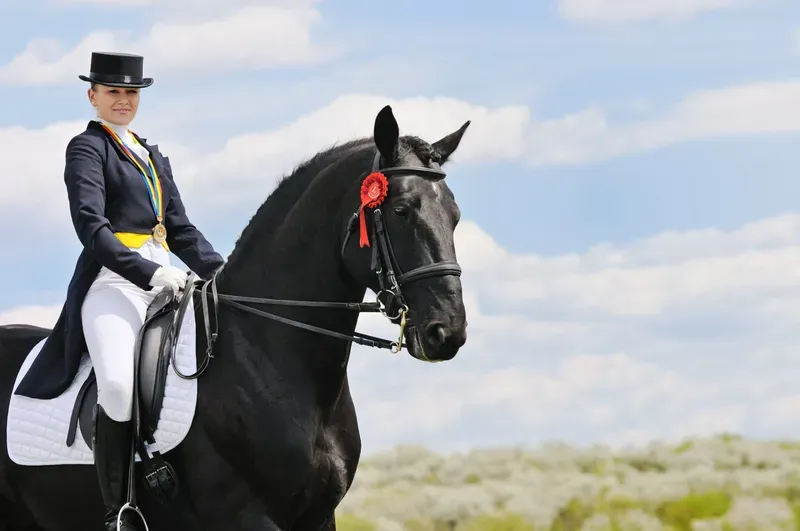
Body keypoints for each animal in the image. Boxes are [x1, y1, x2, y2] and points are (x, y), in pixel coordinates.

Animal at [0, 105, 470, 531]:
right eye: (401, 210)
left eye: (454, 215)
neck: (266, 354)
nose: (447, 332)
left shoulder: (319, 518)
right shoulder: (246, 515)